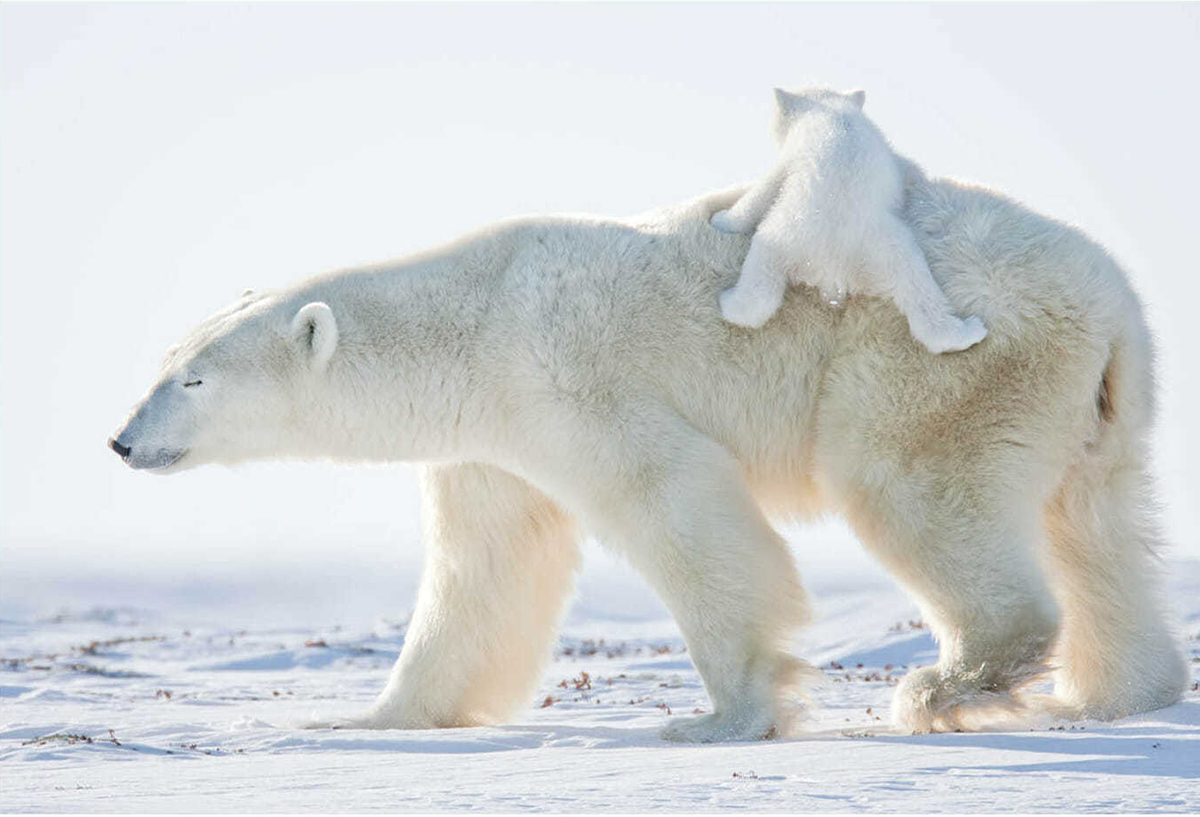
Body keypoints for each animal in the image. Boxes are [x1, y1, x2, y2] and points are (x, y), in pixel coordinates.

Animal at [108, 165, 1185, 739]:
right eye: (165, 361)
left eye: (193, 380)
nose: (120, 440)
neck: (474, 322)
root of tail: (1110, 300)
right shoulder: (490, 440)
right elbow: (484, 570)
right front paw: (373, 717)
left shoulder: (570, 379)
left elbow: (681, 509)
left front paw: (721, 715)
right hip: (1092, 400)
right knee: (1099, 526)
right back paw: (1113, 694)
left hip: (937, 360)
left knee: (909, 485)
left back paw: (941, 686)